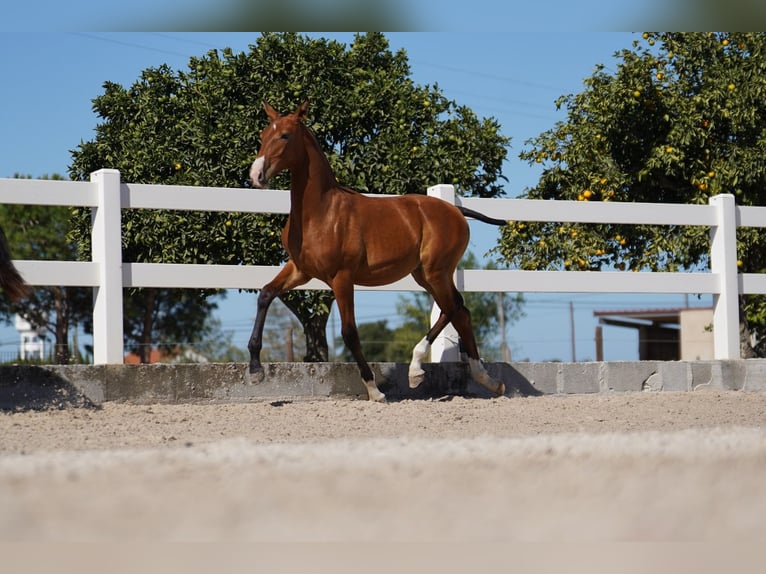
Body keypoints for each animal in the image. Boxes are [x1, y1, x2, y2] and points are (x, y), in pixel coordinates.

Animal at [249, 101, 508, 402]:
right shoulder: (300, 270)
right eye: (263, 134)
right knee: (456, 310)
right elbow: (266, 294)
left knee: (456, 309)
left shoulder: (341, 278)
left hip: (437, 272)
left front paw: (375, 390)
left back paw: (442, 373)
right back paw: (469, 378)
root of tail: (455, 210)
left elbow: (350, 332)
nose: (256, 175)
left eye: (285, 136)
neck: (321, 212)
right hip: (424, 275)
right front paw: (255, 370)